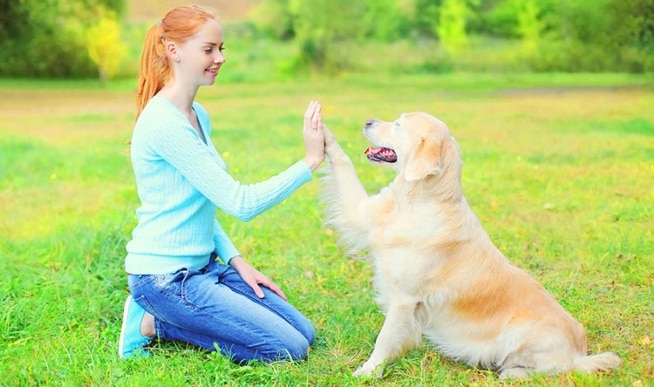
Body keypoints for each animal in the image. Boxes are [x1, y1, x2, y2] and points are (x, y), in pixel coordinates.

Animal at [320, 111, 624, 378]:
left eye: (398, 124)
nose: (367, 121)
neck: (416, 199)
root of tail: (579, 351)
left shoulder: (404, 300)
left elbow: (384, 339)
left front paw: (368, 371)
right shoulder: (361, 214)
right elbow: (344, 164)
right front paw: (322, 131)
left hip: (523, 334)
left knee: (557, 369)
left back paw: (513, 373)